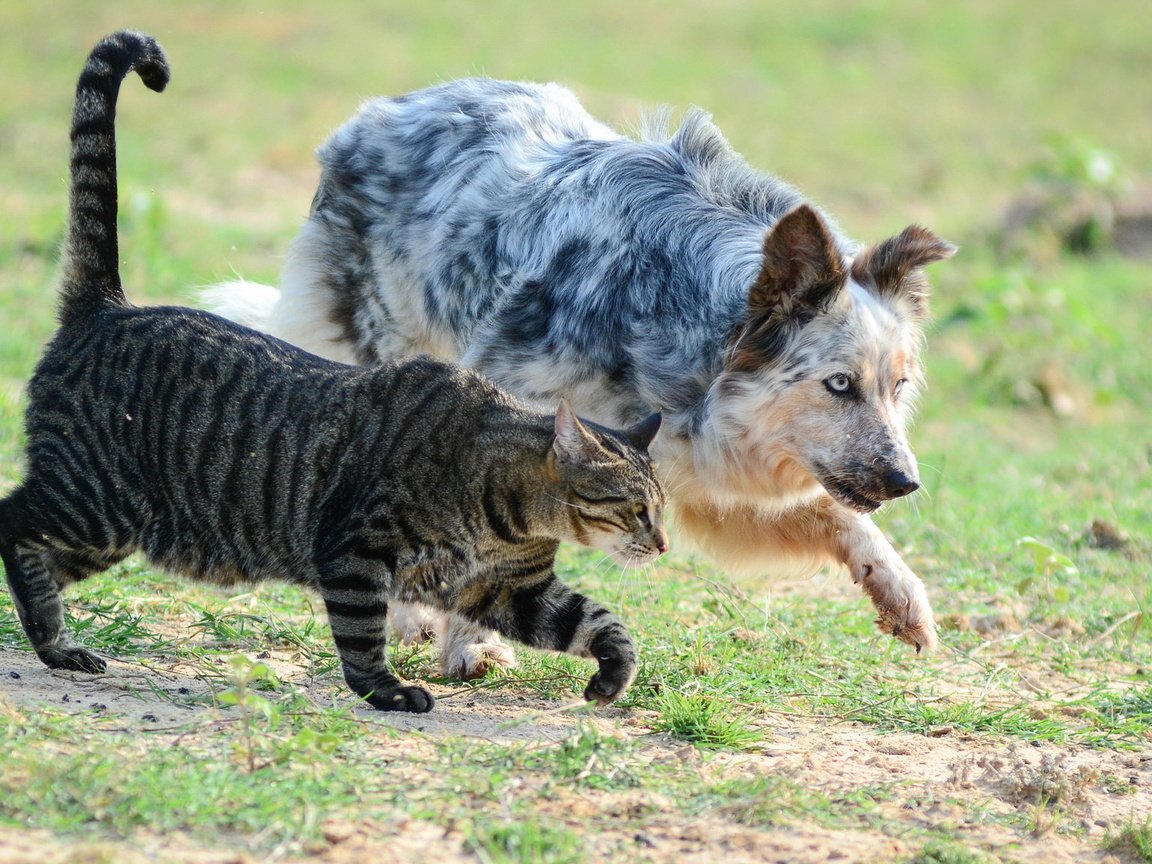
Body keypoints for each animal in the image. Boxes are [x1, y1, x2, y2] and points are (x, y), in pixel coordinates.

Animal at [0, 30, 668, 714]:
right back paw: (52, 637)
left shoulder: (508, 589)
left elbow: (601, 622)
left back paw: (54, 642)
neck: (511, 505)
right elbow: (361, 634)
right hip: (96, 502)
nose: (663, 543)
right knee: (10, 522)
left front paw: (612, 674)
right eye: (635, 507)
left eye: (660, 507)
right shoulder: (354, 551)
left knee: (36, 559)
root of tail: (108, 306)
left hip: (106, 530)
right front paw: (388, 691)